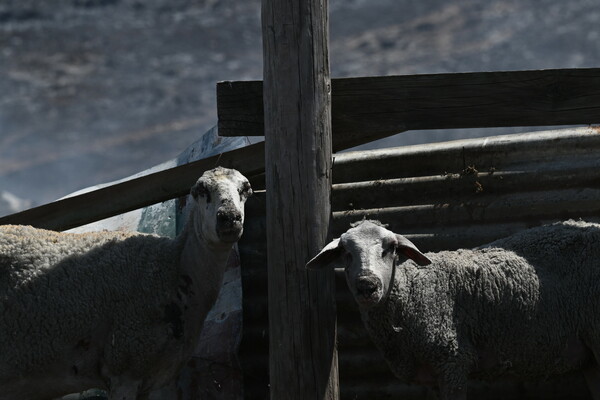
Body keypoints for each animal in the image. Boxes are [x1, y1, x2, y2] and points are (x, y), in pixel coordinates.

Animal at [0, 166, 252, 400]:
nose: (229, 217)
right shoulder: (126, 364)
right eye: (201, 190)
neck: (174, 268)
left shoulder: (149, 375)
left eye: (245, 189)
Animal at [308, 219, 600, 400]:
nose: (367, 285)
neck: (412, 291)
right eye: (345, 252)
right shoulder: (435, 373)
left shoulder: (452, 360)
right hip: (589, 356)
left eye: (390, 249)